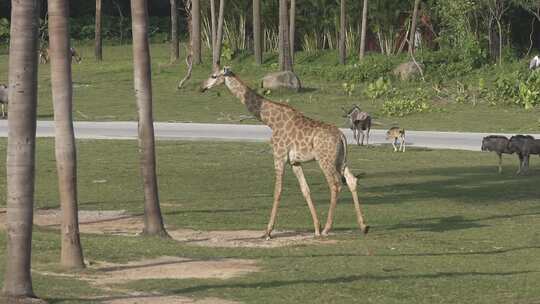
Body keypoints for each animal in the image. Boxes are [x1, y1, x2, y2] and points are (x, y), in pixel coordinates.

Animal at [200, 67, 370, 240]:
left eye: (213, 76)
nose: (202, 87)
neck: (270, 121)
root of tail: (342, 136)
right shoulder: (295, 162)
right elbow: (305, 190)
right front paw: (316, 228)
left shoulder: (279, 155)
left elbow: (278, 191)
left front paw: (268, 231)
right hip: (341, 160)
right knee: (352, 180)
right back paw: (363, 226)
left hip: (325, 160)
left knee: (335, 185)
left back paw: (328, 229)